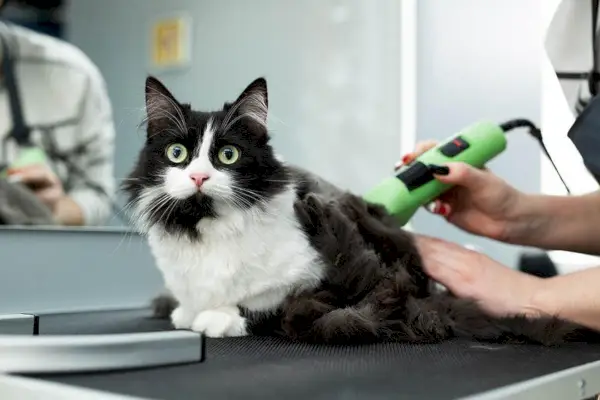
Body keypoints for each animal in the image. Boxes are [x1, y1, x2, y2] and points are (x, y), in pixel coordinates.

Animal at [125, 76, 600, 346]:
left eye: (227, 155)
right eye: (177, 153)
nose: (198, 177)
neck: (205, 228)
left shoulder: (306, 282)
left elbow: (269, 308)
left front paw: (218, 318)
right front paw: (186, 311)